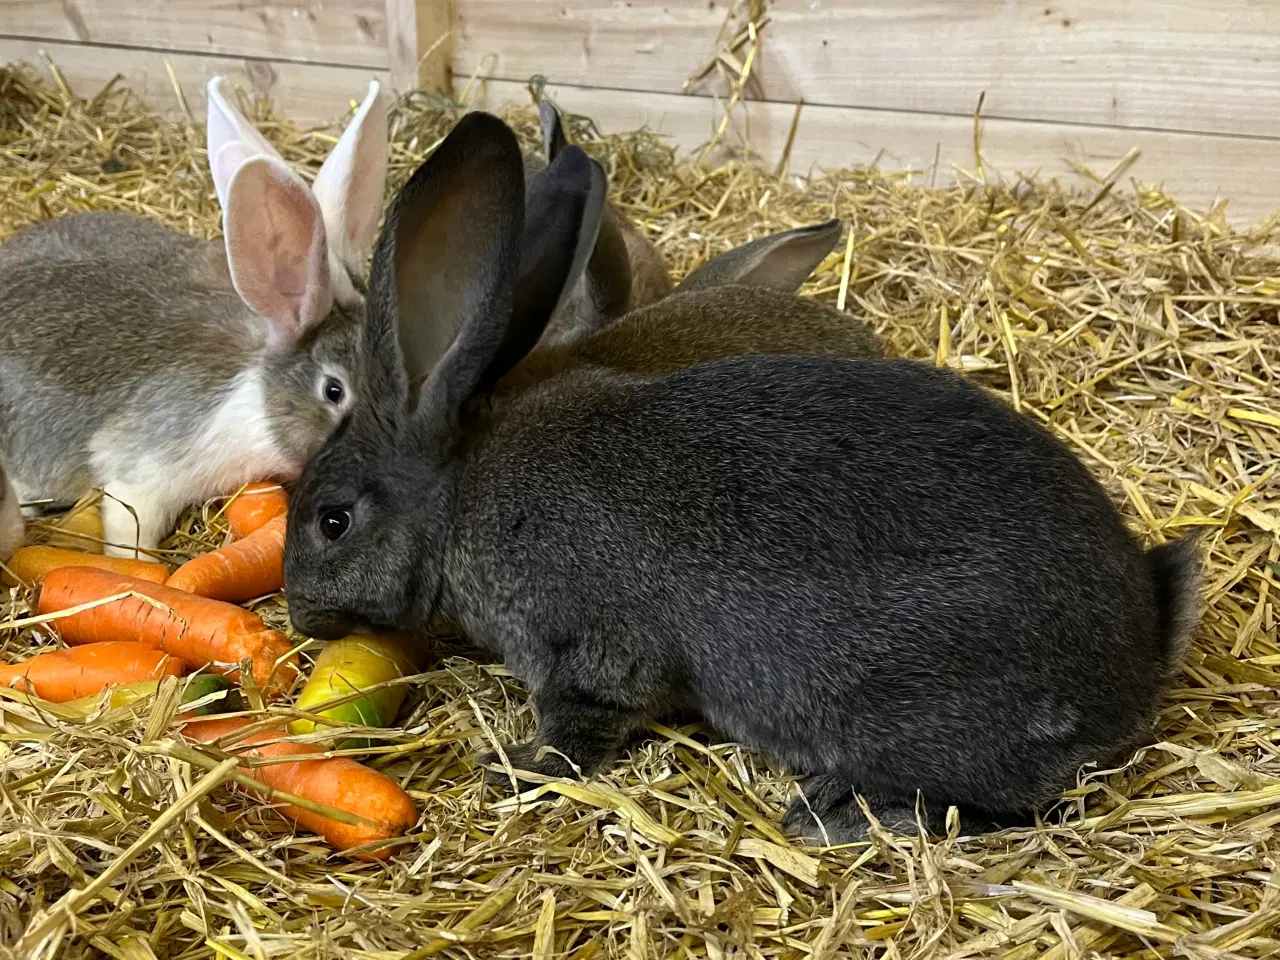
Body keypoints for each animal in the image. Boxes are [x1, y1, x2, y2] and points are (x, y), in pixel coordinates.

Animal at [277, 112, 1198, 844]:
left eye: (332, 520)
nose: (299, 616)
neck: (461, 496)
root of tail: (1140, 649)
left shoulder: (589, 655)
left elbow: (575, 734)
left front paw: (509, 765)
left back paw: (837, 813)